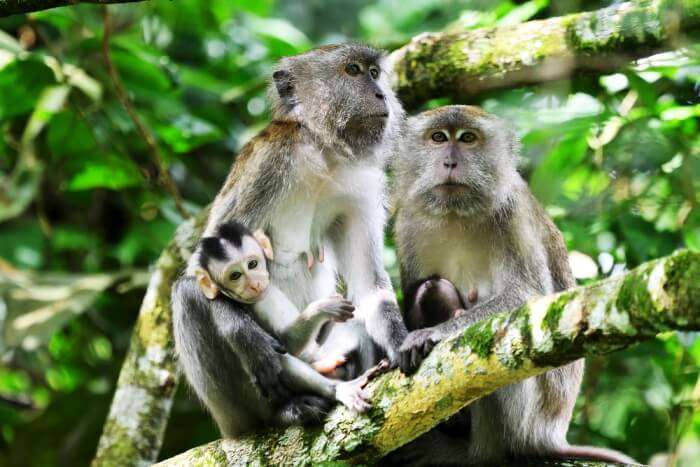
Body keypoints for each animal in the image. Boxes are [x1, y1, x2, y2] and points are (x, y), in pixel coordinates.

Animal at [196, 221, 382, 412]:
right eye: (235, 275)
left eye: (252, 264)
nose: (254, 284)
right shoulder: (263, 300)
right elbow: (287, 343)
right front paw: (324, 308)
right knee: (279, 357)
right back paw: (338, 388)